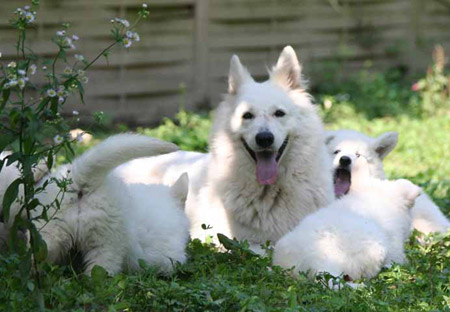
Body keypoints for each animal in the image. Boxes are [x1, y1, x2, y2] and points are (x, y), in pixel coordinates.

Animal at [2, 133, 188, 274]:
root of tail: (80, 181)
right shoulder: (171, 256)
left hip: (48, 233)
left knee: (38, 257)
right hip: (106, 243)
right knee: (98, 273)